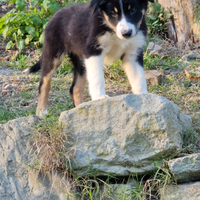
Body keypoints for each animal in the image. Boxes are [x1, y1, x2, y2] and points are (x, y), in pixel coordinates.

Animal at [25, 0, 153, 115]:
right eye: (113, 13)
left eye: (133, 10)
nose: (126, 33)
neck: (111, 30)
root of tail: (55, 15)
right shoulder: (93, 51)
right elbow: (97, 78)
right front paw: (100, 97)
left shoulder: (133, 53)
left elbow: (139, 78)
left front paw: (144, 97)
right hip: (52, 53)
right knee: (44, 82)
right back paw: (41, 112)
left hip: (81, 62)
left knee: (75, 88)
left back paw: (81, 110)